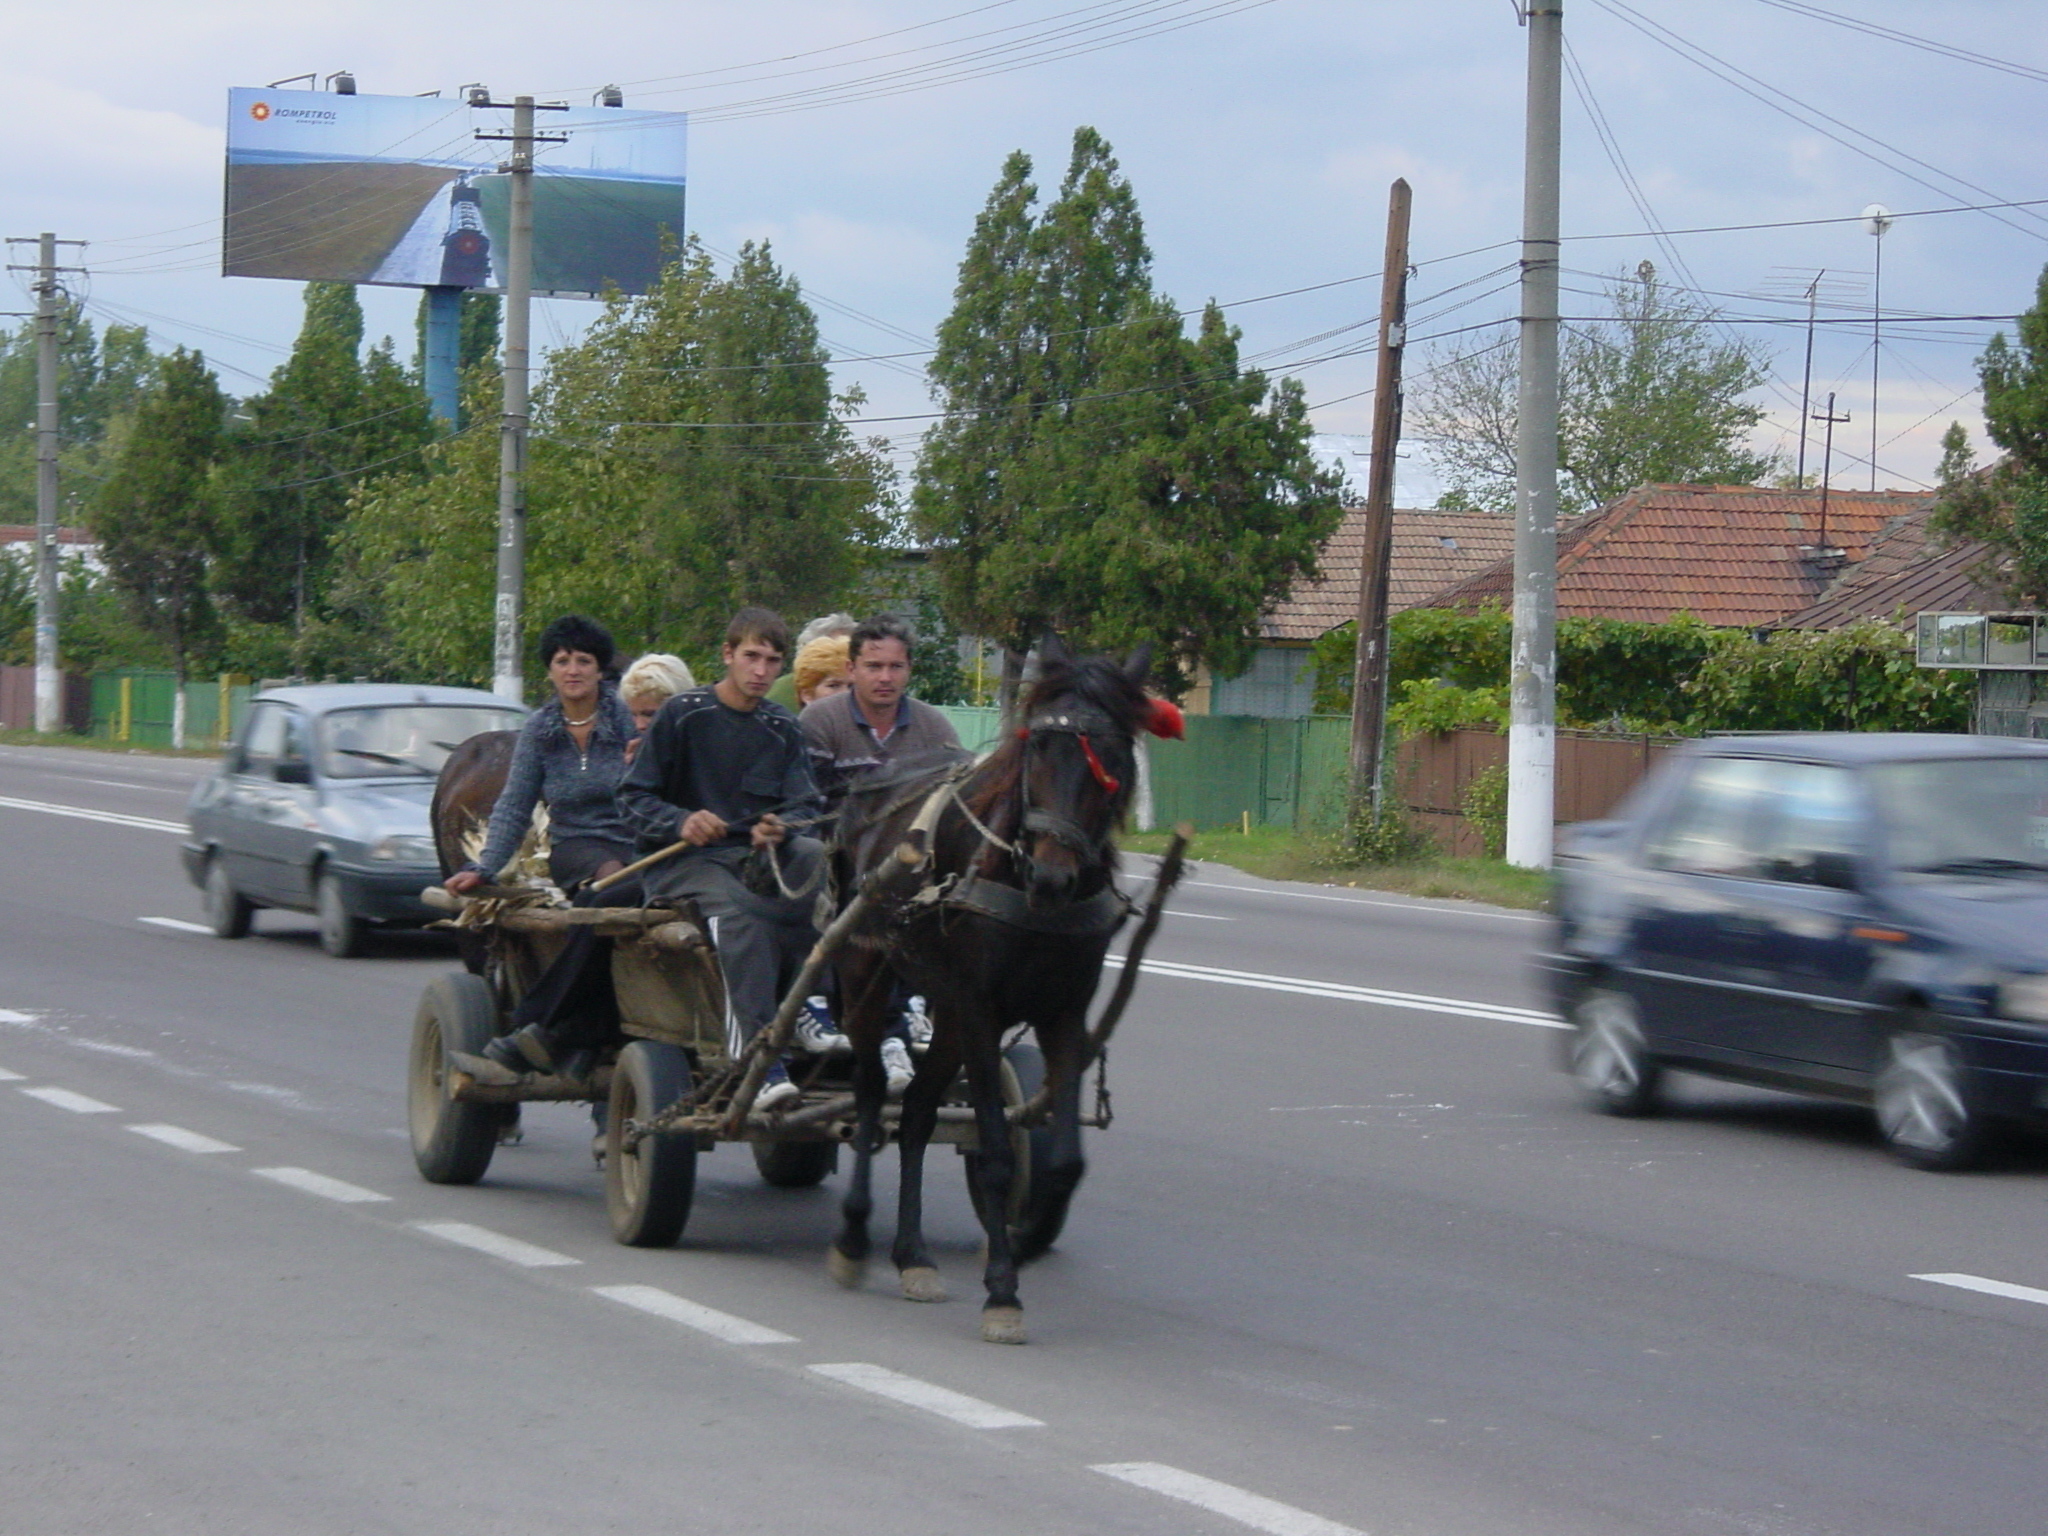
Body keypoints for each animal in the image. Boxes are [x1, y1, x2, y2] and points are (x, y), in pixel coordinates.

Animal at [819, 638, 1171, 1343]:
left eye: (1113, 758)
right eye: (1038, 748)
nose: (1051, 876)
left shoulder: (1063, 1013)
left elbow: (1062, 1163)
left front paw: (1024, 1240)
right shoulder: (983, 1012)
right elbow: (998, 1155)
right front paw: (1003, 1291)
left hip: (947, 1014)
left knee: (918, 1112)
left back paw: (913, 1256)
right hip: (869, 976)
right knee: (871, 1093)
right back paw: (853, 1236)